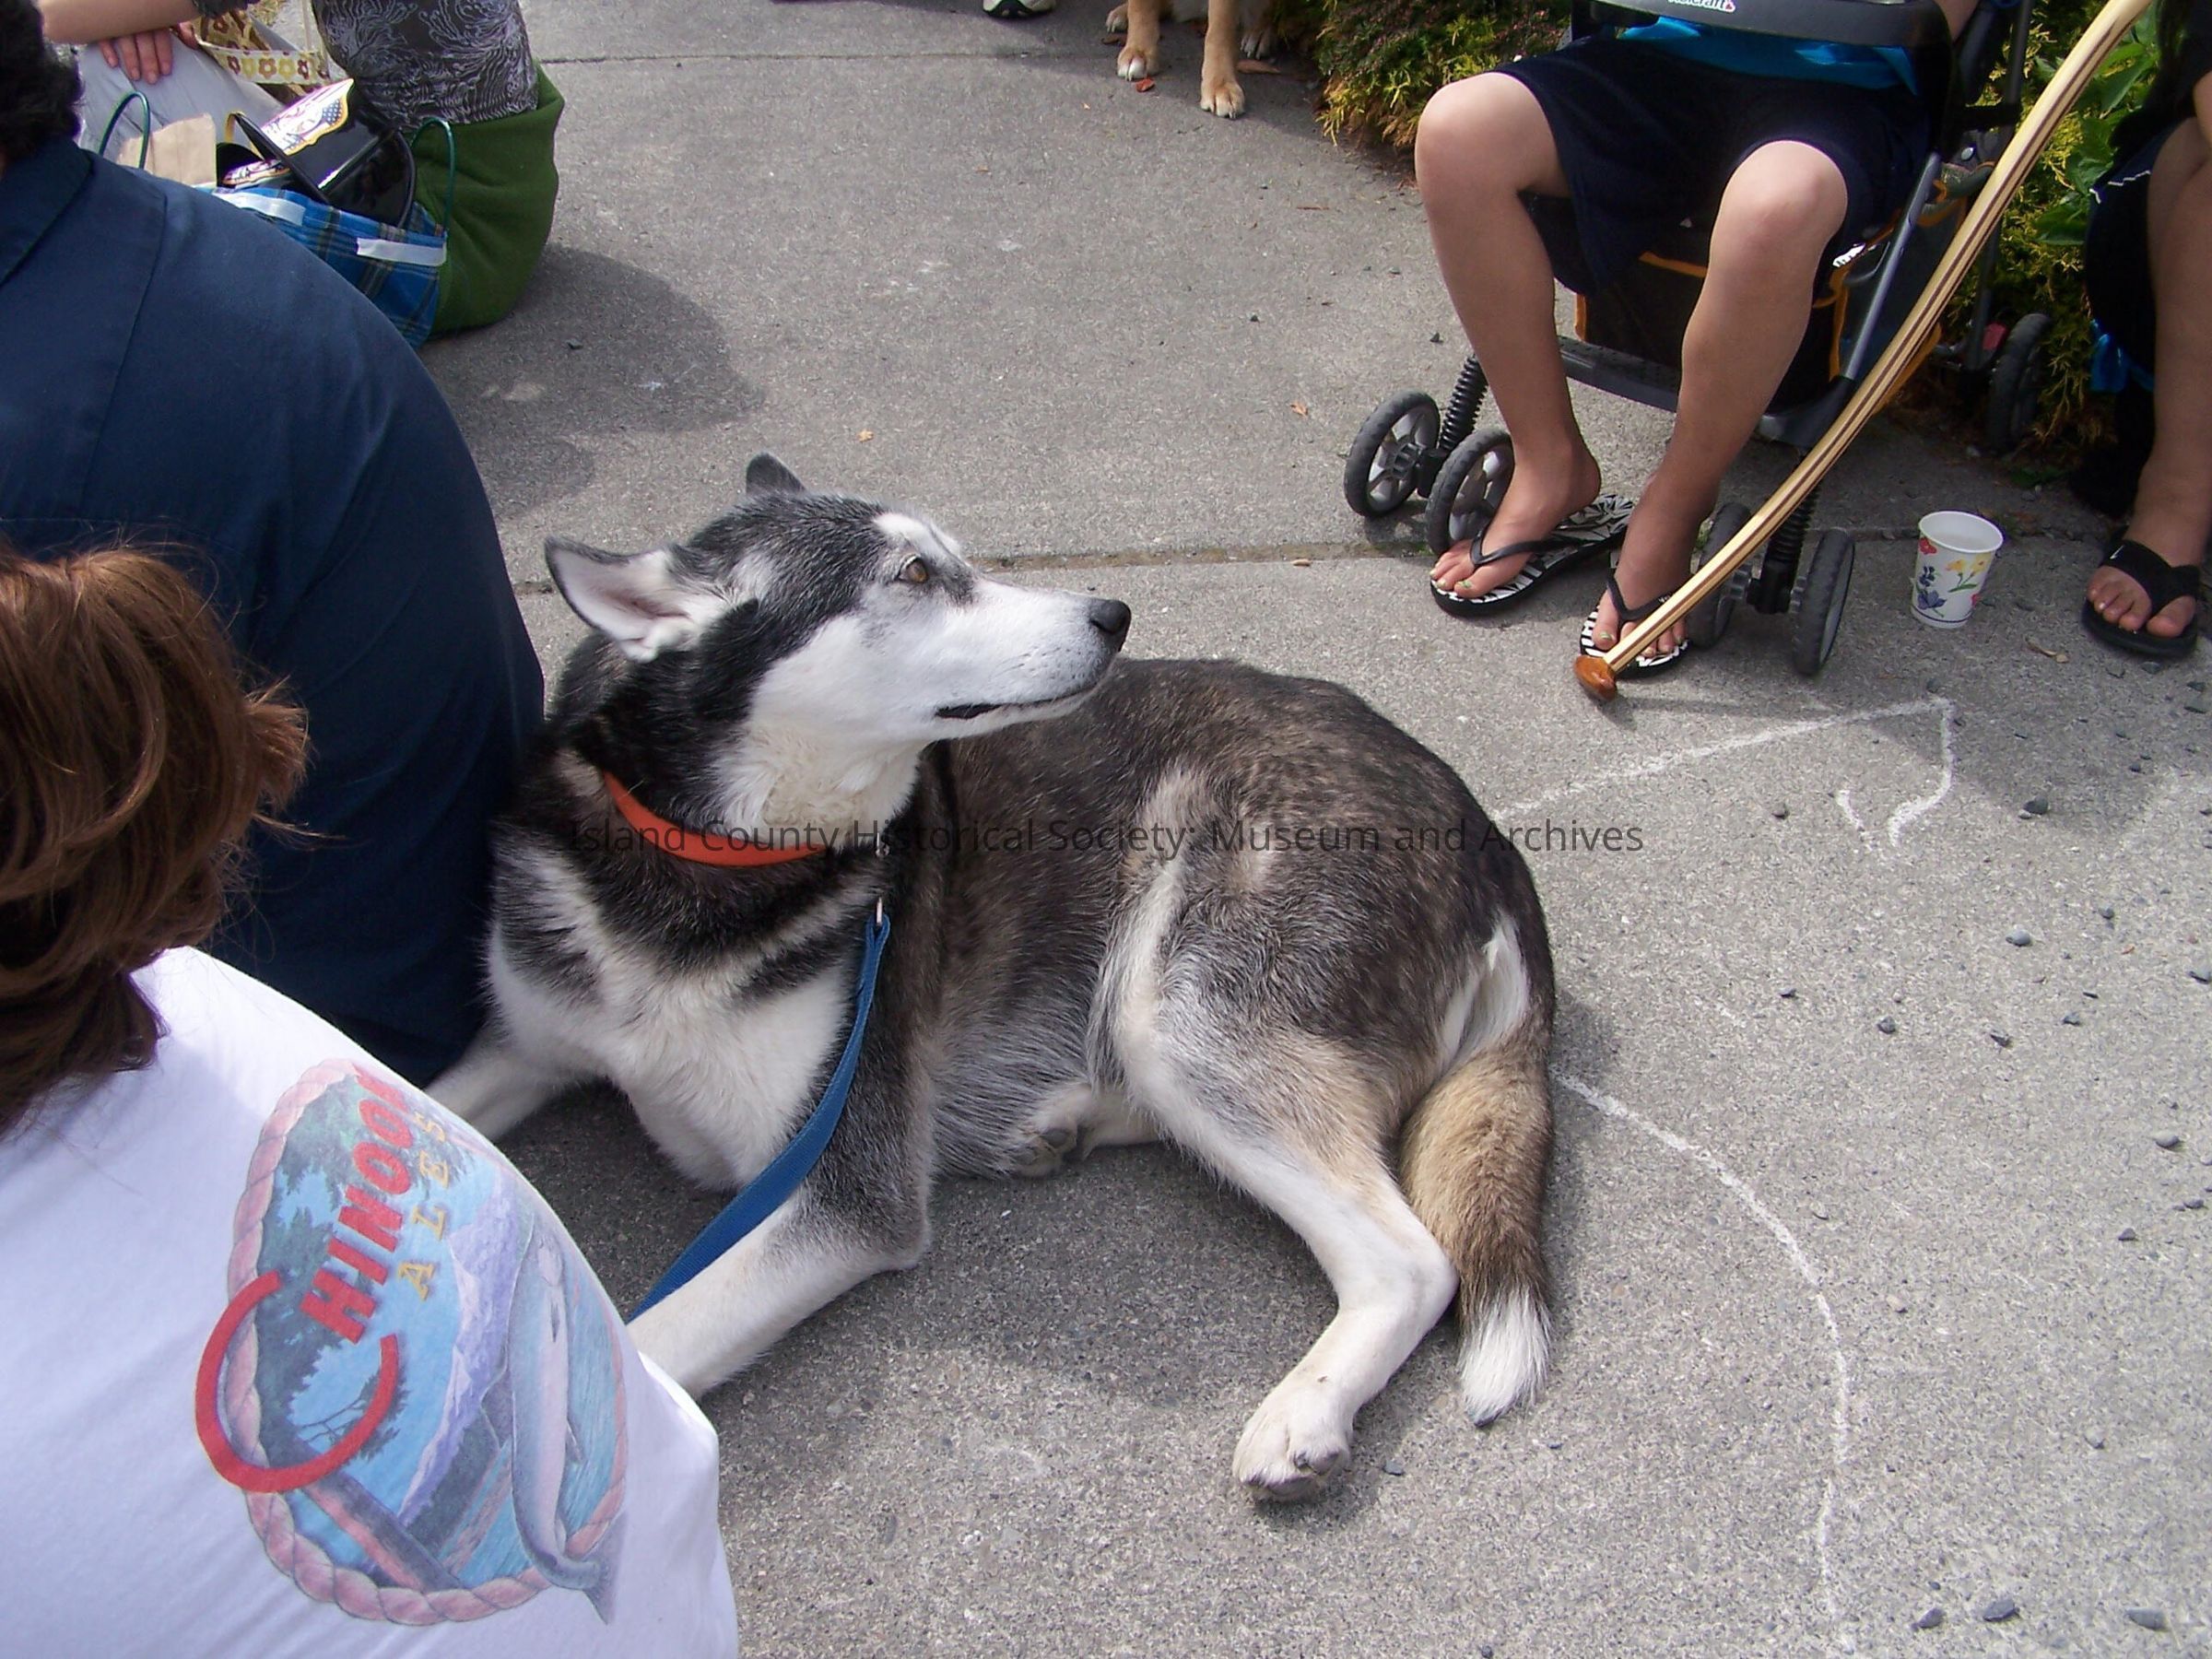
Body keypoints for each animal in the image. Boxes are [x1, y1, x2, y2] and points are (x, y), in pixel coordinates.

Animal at [433, 456, 1557, 1498]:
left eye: (951, 557)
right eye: (916, 574)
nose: (1113, 613)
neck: (705, 863)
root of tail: (1479, 823)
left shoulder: (846, 1188)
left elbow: (648, 1347)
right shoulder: (523, 1045)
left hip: (1180, 1009)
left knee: (1414, 1263)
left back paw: (1306, 1413)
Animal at [1109, 0, 1273, 118]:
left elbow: (1220, 30)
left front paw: (1220, 85)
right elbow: (1140, 7)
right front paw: (1138, 50)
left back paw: (1259, 32)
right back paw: (1123, 13)